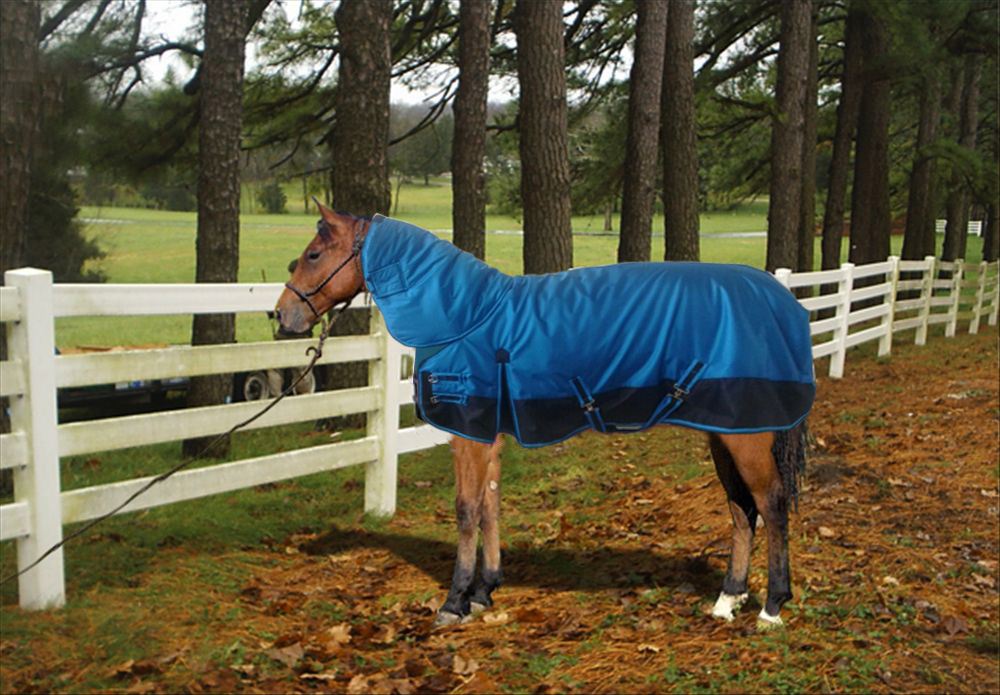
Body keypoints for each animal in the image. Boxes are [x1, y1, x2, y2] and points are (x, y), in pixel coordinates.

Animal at [275, 203, 814, 630]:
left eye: (314, 254)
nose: (282, 316)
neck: (465, 316)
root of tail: (783, 303)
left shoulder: (467, 433)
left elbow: (466, 510)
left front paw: (454, 601)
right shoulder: (488, 435)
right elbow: (490, 504)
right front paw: (484, 592)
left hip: (748, 436)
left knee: (771, 505)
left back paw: (771, 606)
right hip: (726, 431)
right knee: (741, 511)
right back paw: (727, 599)